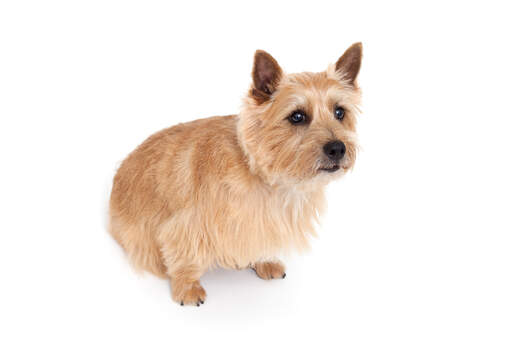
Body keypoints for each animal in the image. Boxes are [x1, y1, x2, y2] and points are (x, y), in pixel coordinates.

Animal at [109, 42, 362, 306]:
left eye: (340, 112)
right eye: (297, 116)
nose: (338, 148)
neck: (266, 179)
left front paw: (264, 261)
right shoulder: (186, 225)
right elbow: (184, 256)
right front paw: (187, 287)